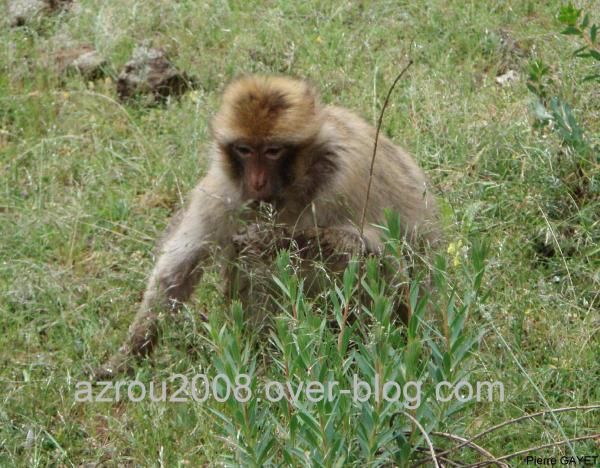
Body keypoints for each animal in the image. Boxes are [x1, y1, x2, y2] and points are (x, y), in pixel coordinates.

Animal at [96, 75, 438, 378]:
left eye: (273, 151)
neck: (298, 182)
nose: (257, 181)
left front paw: (272, 237)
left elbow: (371, 250)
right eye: (245, 150)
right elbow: (179, 267)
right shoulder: (224, 189)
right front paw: (126, 357)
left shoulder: (349, 176)